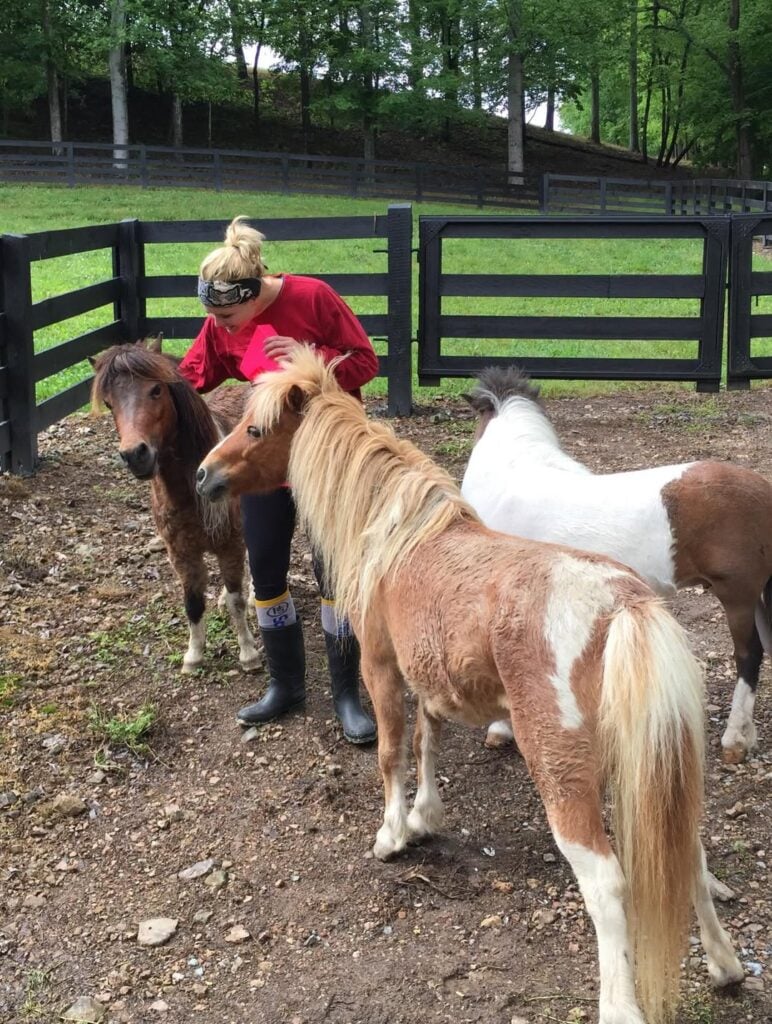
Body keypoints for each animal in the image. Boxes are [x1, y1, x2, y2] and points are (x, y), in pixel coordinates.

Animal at [90, 338, 260, 674]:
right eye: (109, 402)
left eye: (156, 390)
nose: (135, 455)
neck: (190, 493)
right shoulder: (182, 554)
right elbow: (192, 603)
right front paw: (193, 655)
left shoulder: (228, 545)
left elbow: (236, 601)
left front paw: (248, 653)